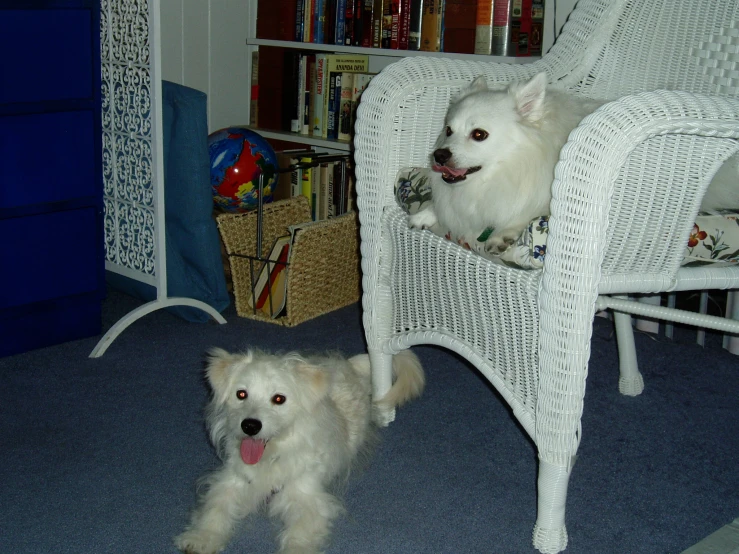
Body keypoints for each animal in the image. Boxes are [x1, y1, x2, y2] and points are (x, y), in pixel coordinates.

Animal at [174, 344, 424, 552]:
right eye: (241, 394)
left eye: (279, 399)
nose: (250, 425)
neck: (272, 456)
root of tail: (349, 365)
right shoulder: (230, 482)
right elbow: (214, 509)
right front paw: (201, 538)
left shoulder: (308, 498)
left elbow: (301, 533)